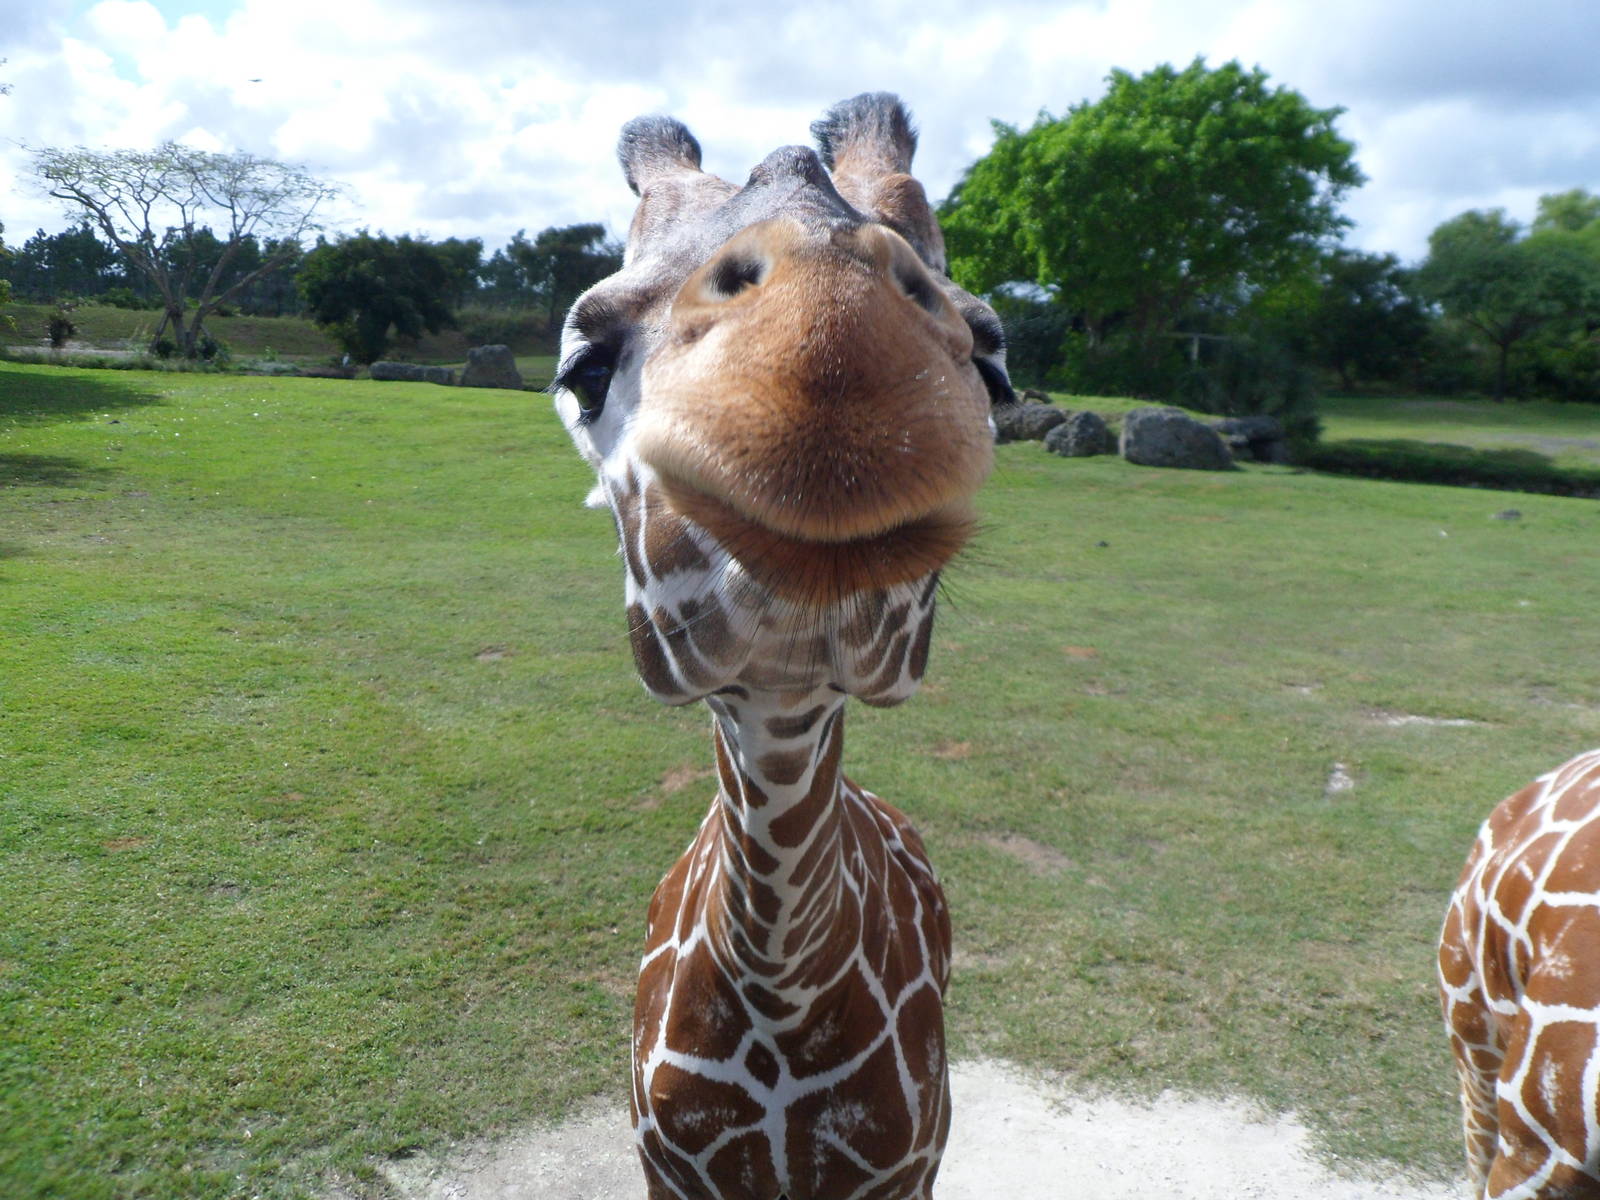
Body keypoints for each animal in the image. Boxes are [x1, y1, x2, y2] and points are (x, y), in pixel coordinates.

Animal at [548, 94, 1014, 1198]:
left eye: (996, 366)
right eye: (584, 365)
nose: (826, 356)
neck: (781, 992)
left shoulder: (909, 1166)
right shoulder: (665, 1166)